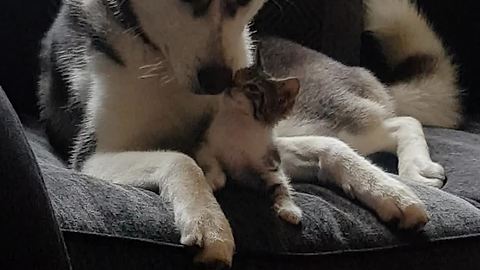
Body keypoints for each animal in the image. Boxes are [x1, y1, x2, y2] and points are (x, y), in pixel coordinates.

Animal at [193, 50, 302, 224]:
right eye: (235, 77)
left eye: (252, 88)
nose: (229, 85)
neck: (238, 123)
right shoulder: (204, 145)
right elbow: (213, 164)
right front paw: (213, 179)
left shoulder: (270, 163)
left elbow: (281, 185)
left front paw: (289, 208)